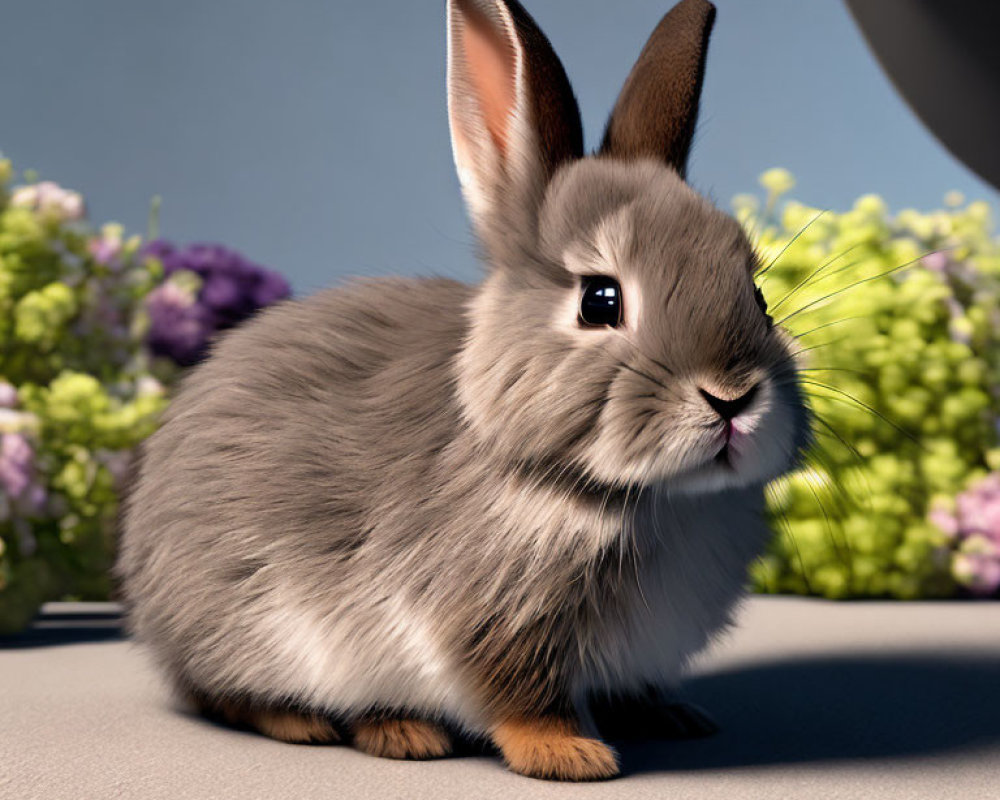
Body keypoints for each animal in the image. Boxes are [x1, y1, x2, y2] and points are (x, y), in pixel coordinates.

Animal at [119, 0, 812, 780]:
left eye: (758, 296)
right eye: (600, 300)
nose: (732, 397)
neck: (642, 496)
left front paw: (672, 715)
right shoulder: (491, 620)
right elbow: (521, 696)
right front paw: (569, 755)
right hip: (244, 626)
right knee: (222, 694)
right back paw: (356, 726)